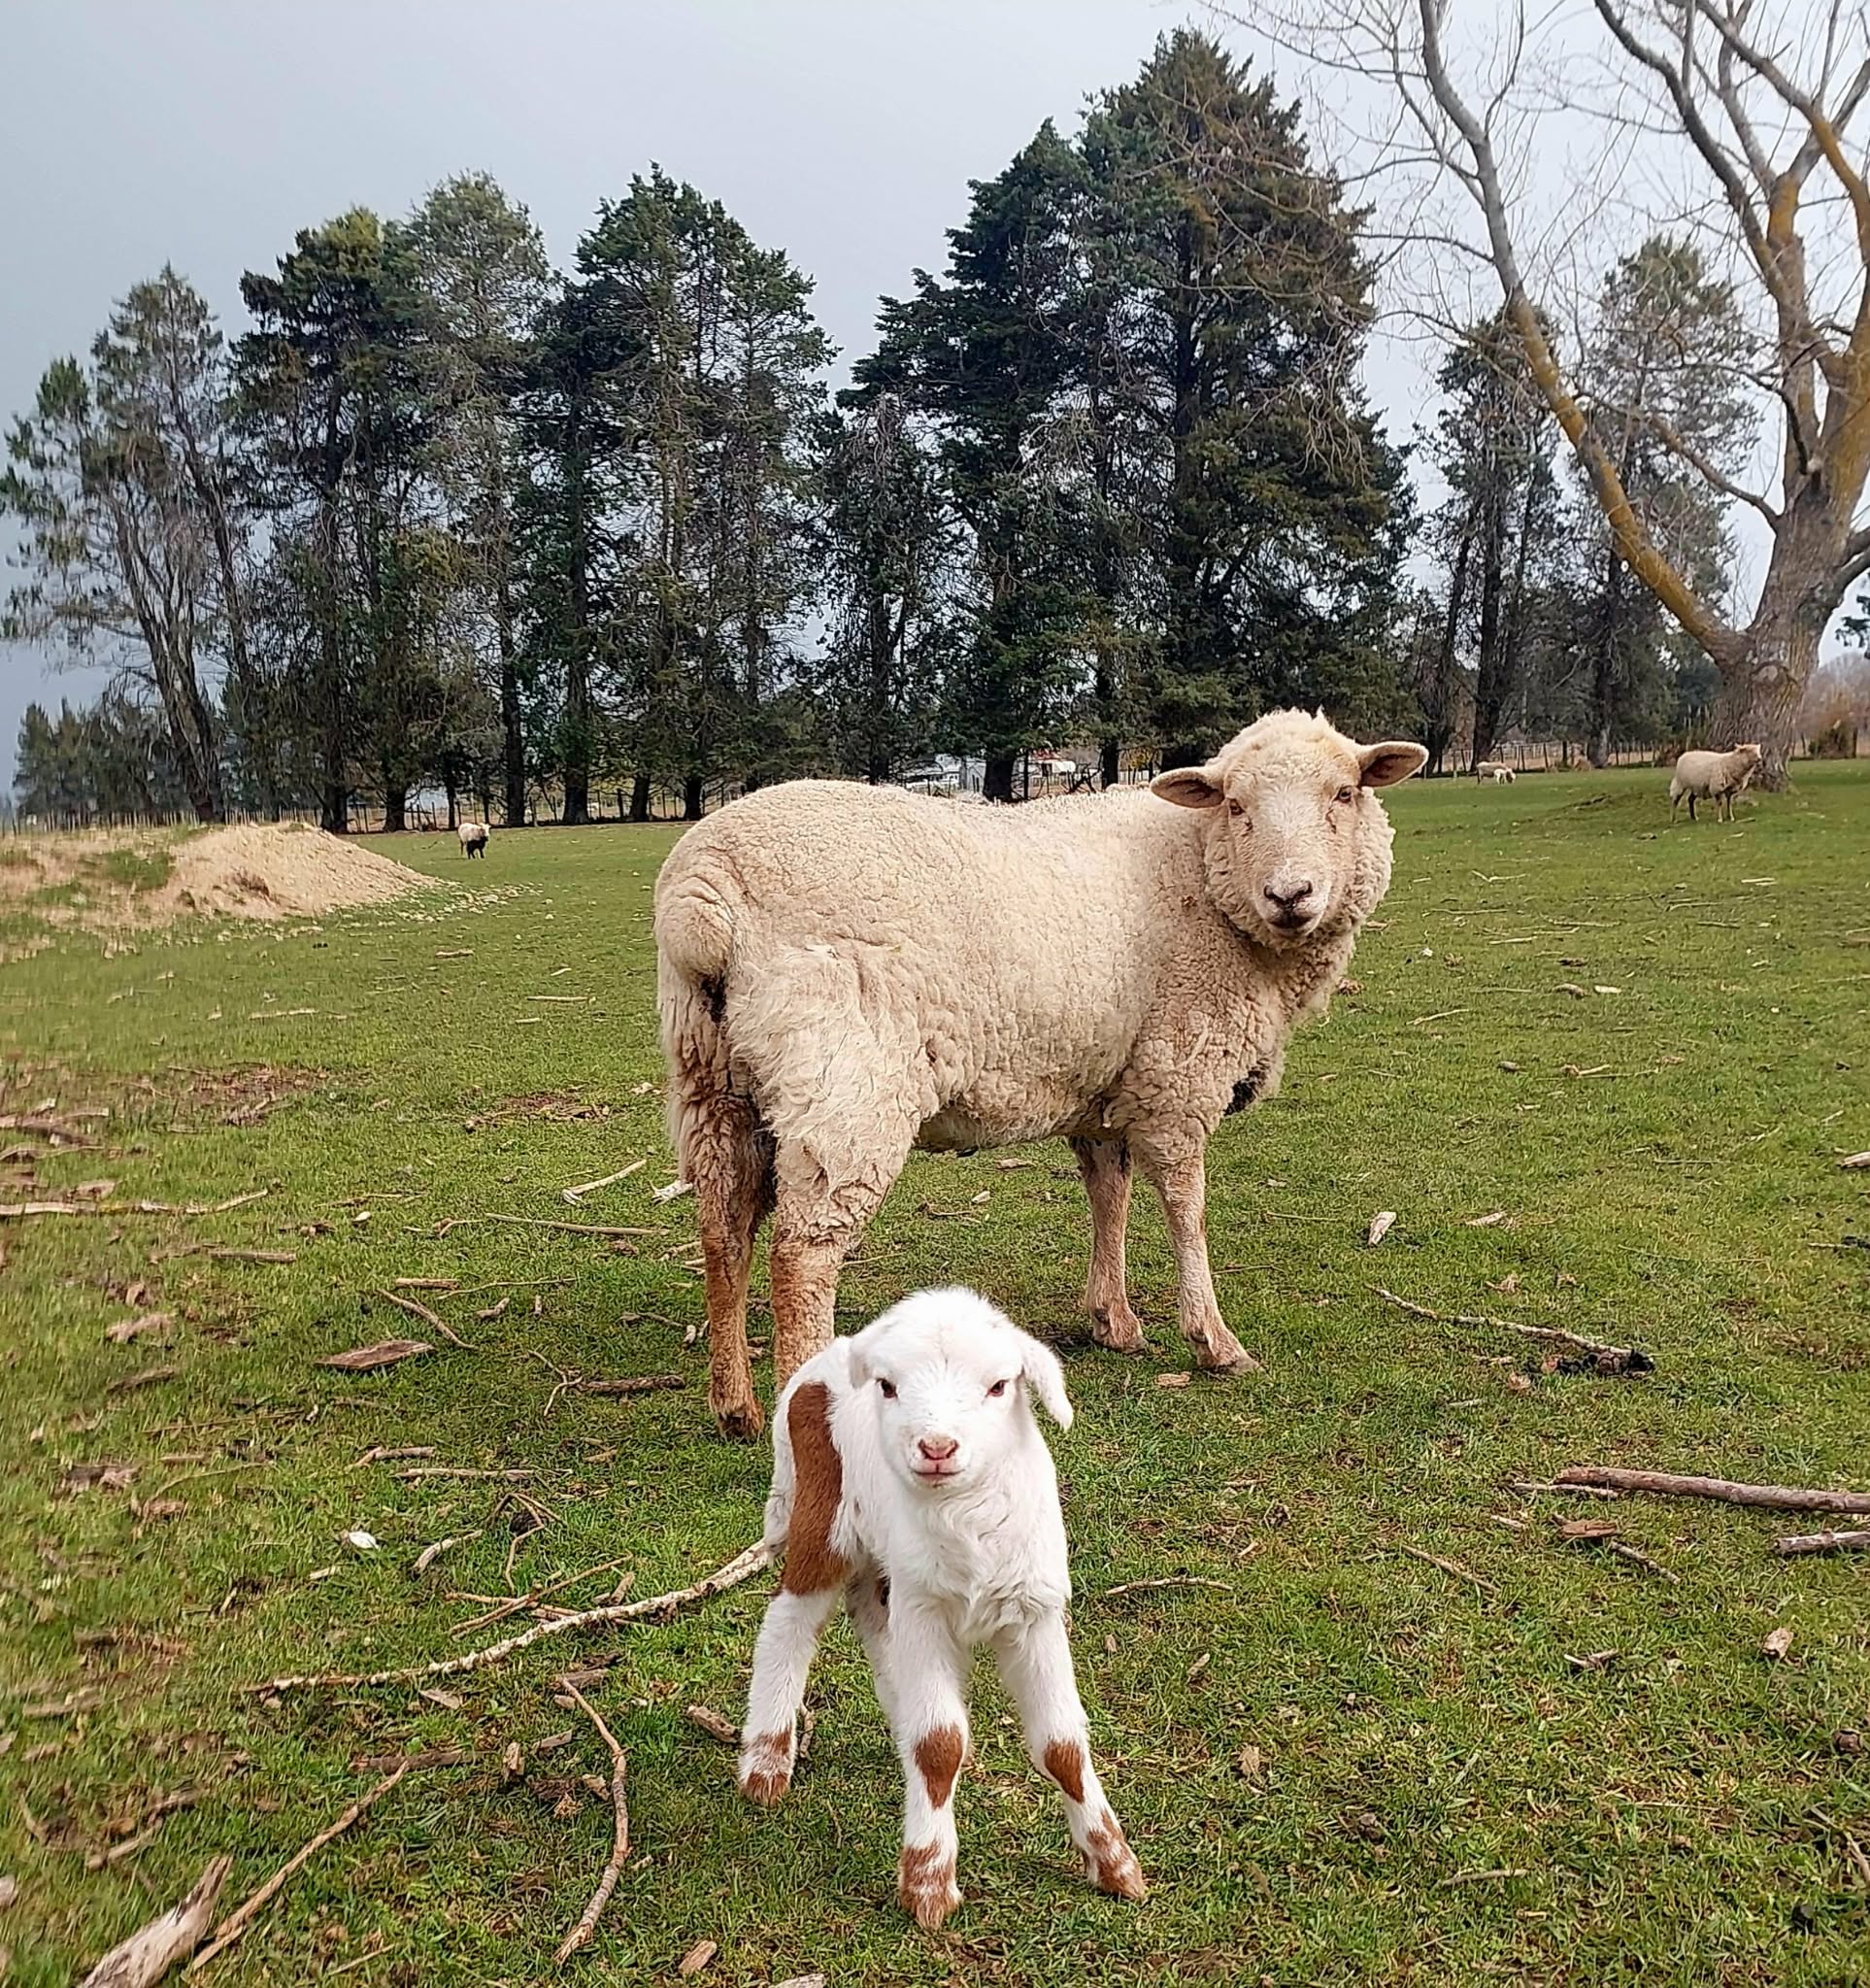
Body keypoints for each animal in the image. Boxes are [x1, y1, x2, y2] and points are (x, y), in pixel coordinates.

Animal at [656, 707, 1427, 1437]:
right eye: (1236, 805)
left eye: (1345, 793)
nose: (1290, 895)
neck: (1204, 876)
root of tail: (703, 896)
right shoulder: (1178, 1072)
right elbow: (1187, 1209)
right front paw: (1213, 1340)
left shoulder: (1113, 1082)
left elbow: (1109, 1195)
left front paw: (1113, 1320)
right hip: (844, 1080)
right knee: (802, 1256)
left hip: (715, 1079)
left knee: (722, 1230)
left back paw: (734, 1407)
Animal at [737, 1286, 1144, 1929]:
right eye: (888, 1386)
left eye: (1000, 1386)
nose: (936, 1447)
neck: (965, 1515)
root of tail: (814, 1370)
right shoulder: (926, 1612)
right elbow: (939, 1745)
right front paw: (928, 1882)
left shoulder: (1034, 1611)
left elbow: (1061, 1744)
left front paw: (1115, 1864)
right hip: (824, 1512)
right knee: (789, 1620)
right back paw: (767, 1762)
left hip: (888, 1565)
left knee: (872, 1619)